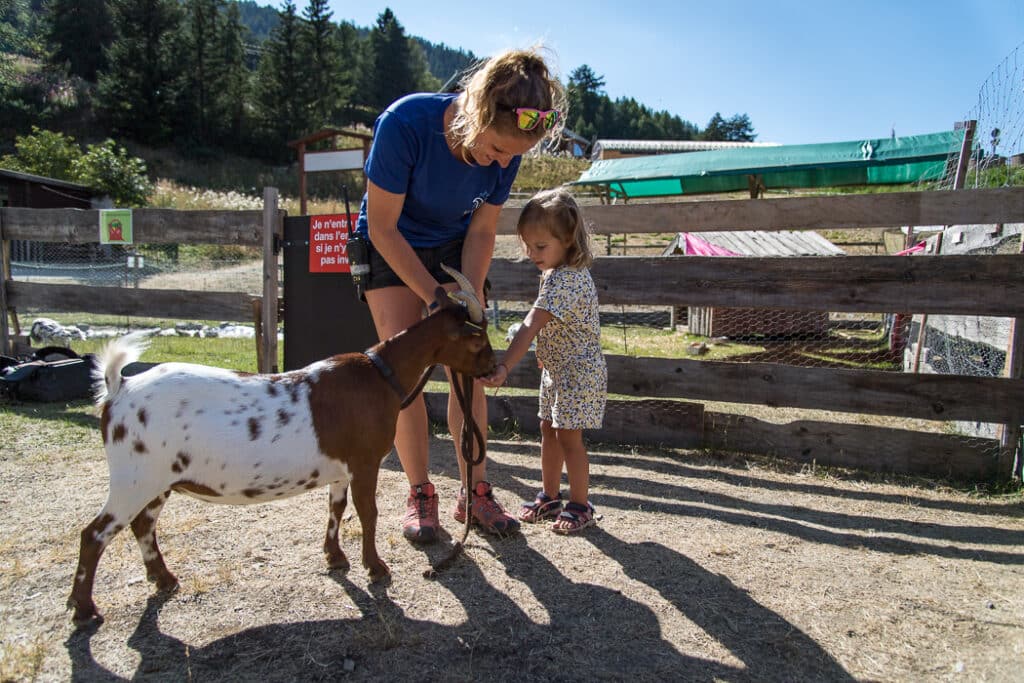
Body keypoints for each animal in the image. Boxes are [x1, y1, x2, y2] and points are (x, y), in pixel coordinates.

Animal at [68, 278, 495, 626]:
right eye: (476, 339)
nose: (493, 368)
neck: (379, 375)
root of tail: (118, 390)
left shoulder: (340, 469)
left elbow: (336, 508)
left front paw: (335, 558)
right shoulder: (365, 462)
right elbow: (368, 513)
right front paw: (376, 568)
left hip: (158, 480)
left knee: (143, 525)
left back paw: (164, 580)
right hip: (133, 477)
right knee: (95, 533)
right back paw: (84, 610)